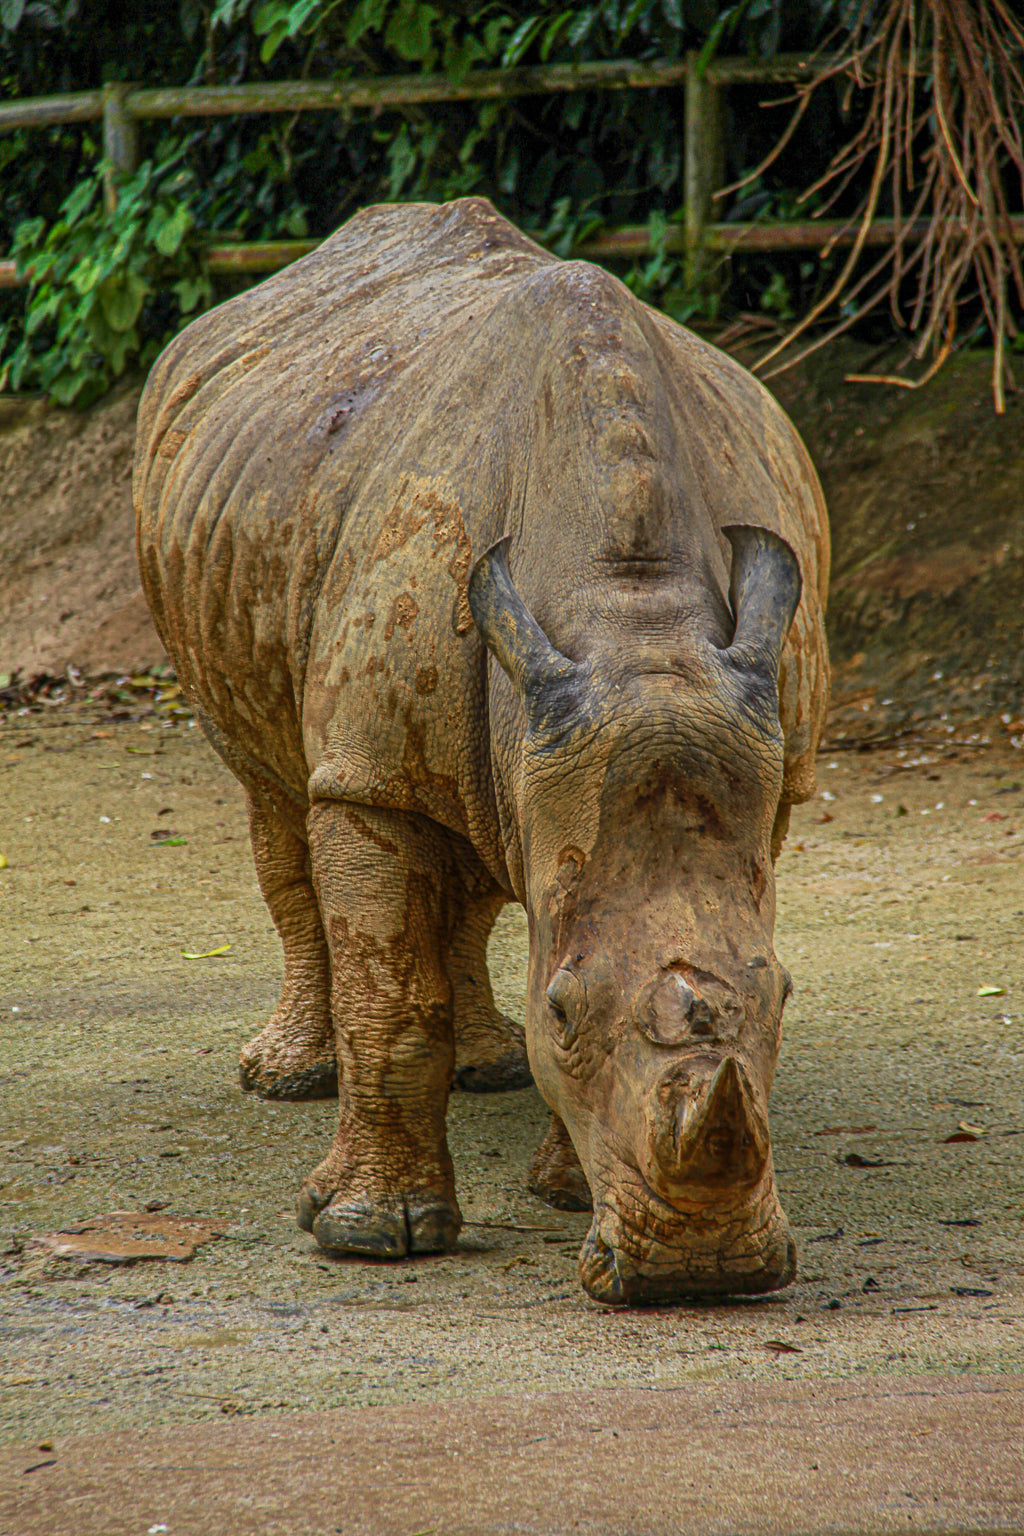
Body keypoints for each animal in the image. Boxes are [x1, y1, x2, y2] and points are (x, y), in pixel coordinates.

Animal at [134, 197, 829, 1306]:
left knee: (480, 846)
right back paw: (285, 1079)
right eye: (561, 1010)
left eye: (787, 996)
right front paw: (370, 1234)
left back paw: (488, 1069)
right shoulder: (370, 776)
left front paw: (562, 1189)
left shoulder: (757, 764)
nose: (701, 1273)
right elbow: (389, 994)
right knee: (273, 792)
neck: (636, 621)